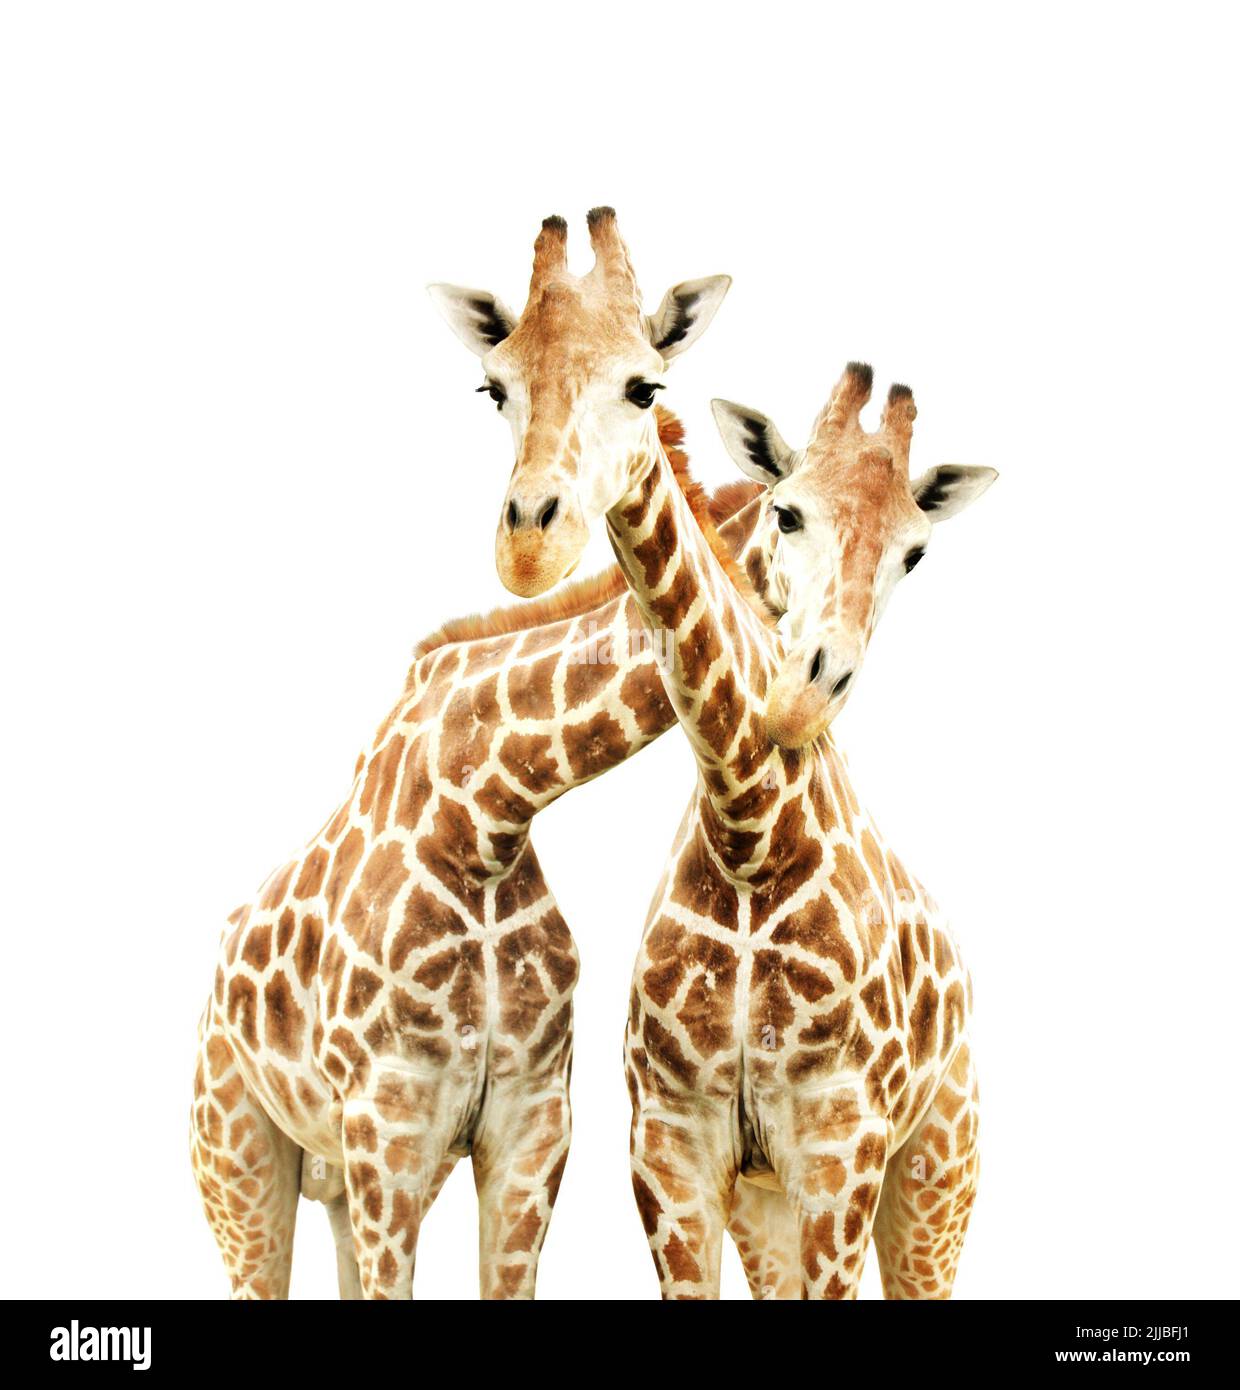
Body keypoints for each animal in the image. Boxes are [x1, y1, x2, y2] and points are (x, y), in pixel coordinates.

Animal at [434, 208, 996, 1298]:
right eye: (494, 386)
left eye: (913, 553)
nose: (528, 547)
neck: (749, 834)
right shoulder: (671, 1147)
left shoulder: (842, 1148)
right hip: (768, 1200)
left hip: (937, 1167)